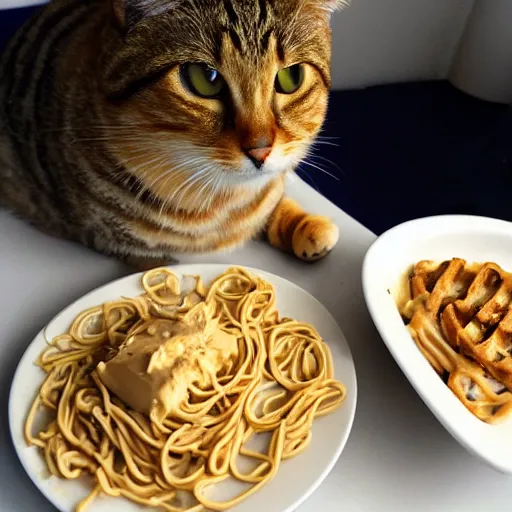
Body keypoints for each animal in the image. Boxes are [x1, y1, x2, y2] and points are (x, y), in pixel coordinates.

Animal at [0, 0, 346, 270]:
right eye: (205, 78)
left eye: (291, 77)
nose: (260, 151)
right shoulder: (127, 247)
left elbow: (272, 200)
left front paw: (304, 224)